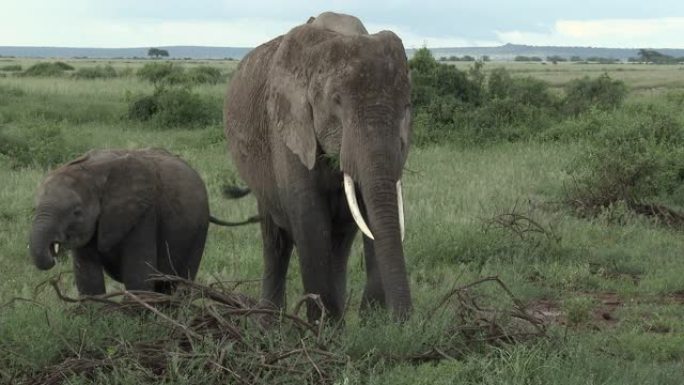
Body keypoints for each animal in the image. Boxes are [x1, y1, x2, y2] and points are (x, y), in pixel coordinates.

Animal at [28, 148, 255, 292]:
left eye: (76, 212)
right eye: (35, 207)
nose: (53, 255)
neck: (92, 171)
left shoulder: (144, 213)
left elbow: (137, 276)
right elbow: (88, 277)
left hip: (198, 228)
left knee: (179, 281)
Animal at [223, 12, 412, 320]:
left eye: (406, 107)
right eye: (336, 101)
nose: (404, 321)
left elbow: (369, 215)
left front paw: (372, 323)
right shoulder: (288, 126)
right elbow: (310, 219)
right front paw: (325, 326)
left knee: (340, 240)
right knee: (276, 240)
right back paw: (270, 322)